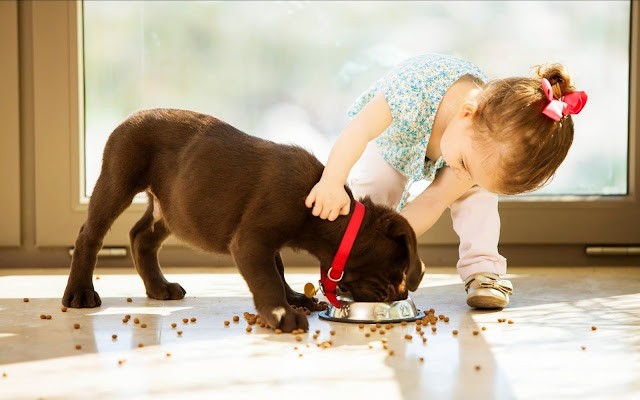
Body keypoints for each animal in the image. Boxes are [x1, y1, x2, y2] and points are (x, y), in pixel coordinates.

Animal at [61, 108, 424, 330]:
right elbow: (267, 277)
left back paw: (159, 287)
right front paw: (282, 313)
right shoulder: (252, 239)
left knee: (141, 236)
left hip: (174, 208)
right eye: (396, 272)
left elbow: (278, 269)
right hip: (118, 179)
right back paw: (80, 293)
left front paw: (293, 299)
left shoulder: (266, 241)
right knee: (89, 235)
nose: (399, 296)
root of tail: (131, 116)